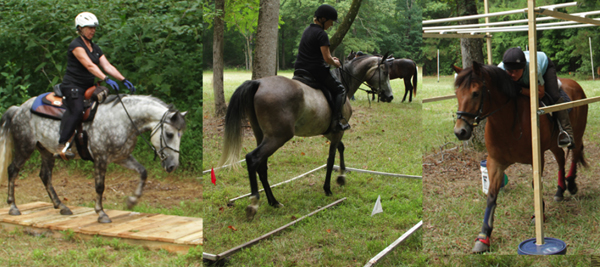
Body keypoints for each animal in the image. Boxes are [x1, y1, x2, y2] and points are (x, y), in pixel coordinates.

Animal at [0, 94, 186, 224]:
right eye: (169, 134)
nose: (172, 166)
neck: (121, 120)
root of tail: (18, 109)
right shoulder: (100, 157)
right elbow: (99, 186)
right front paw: (101, 214)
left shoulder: (121, 157)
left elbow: (143, 172)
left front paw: (132, 201)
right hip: (25, 147)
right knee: (13, 170)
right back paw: (13, 207)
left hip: (46, 151)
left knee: (45, 176)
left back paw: (62, 206)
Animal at [220, 54, 394, 220]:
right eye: (385, 72)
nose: (390, 96)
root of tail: (258, 83)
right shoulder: (338, 131)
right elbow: (331, 159)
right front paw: (328, 187)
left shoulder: (331, 132)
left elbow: (341, 148)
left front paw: (341, 176)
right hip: (278, 137)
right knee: (253, 159)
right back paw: (254, 204)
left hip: (262, 135)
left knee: (261, 166)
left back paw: (273, 202)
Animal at [452, 61, 588, 254]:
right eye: (457, 94)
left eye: (475, 93)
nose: (460, 131)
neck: (508, 120)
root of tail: (576, 84)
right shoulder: (495, 163)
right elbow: (491, 196)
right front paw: (483, 237)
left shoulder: (536, 158)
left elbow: (535, 185)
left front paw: (539, 215)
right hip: (554, 143)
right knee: (561, 159)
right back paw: (559, 191)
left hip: (577, 131)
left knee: (574, 155)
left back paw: (571, 184)